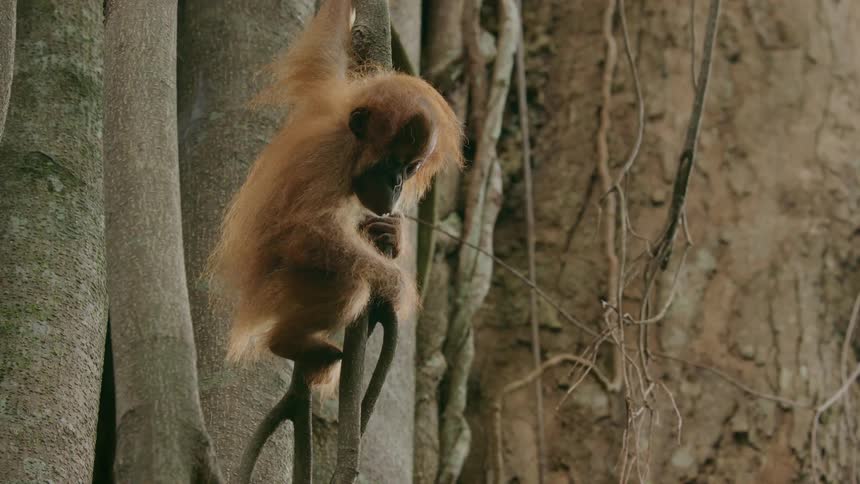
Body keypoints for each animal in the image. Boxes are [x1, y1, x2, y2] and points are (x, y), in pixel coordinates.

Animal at [207, 0, 462, 390]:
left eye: (410, 168)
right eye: (393, 164)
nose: (397, 184)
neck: (347, 137)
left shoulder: (326, 92)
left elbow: (327, 46)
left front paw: (393, 234)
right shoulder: (331, 156)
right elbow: (307, 229)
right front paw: (397, 284)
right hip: (280, 291)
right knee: (349, 281)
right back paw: (290, 343)